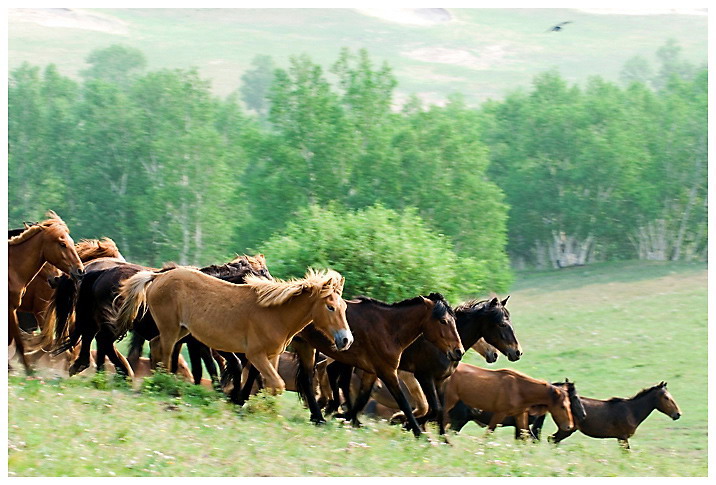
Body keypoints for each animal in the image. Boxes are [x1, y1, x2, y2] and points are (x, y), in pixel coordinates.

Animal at [112, 266, 356, 396]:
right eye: (330, 307)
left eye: (344, 307)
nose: (346, 340)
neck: (275, 314)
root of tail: (158, 276)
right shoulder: (255, 355)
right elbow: (276, 384)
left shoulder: (272, 356)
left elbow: (272, 385)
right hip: (171, 329)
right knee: (164, 352)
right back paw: (164, 383)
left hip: (181, 329)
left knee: (155, 345)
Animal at [442, 362, 576, 436]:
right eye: (562, 406)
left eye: (569, 405)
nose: (569, 426)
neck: (519, 388)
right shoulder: (499, 414)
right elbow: (488, 435)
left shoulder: (520, 415)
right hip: (452, 409)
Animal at [536, 380, 684, 448]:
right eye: (666, 397)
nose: (677, 414)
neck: (631, 411)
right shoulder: (623, 437)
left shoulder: (620, 438)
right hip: (566, 429)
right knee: (552, 439)